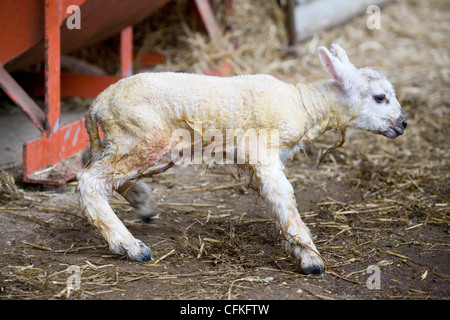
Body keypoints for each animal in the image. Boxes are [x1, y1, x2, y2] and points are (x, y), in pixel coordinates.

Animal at [77, 43, 408, 276]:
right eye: (380, 97)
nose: (403, 123)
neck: (304, 104)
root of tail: (98, 103)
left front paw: (297, 247)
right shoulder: (261, 149)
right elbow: (284, 197)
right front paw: (309, 257)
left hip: (126, 141)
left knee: (104, 173)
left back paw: (142, 204)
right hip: (142, 137)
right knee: (89, 181)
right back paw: (130, 246)